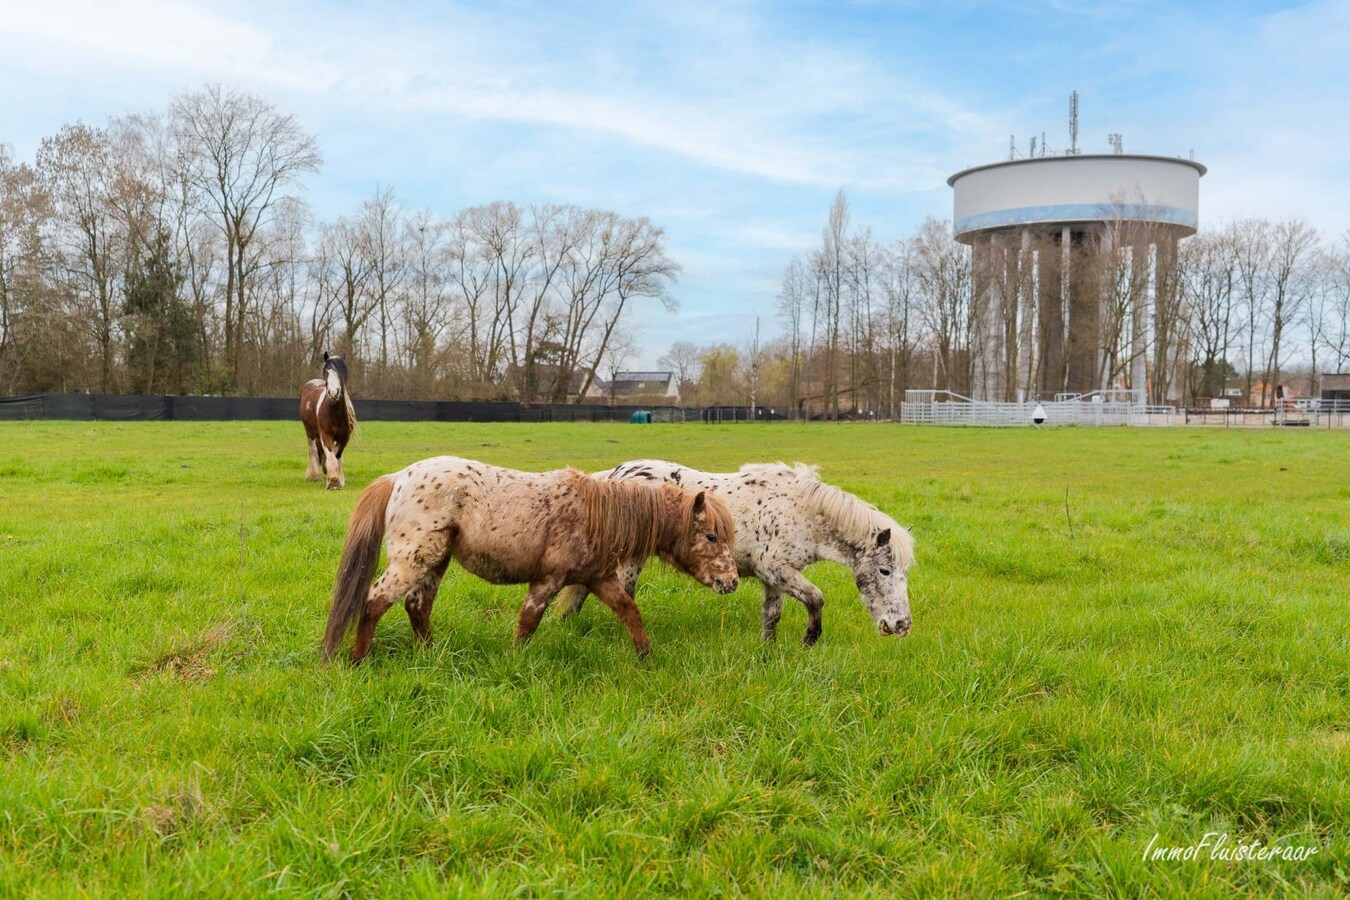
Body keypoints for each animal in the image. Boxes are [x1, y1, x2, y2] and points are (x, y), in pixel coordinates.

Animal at [299, 353, 356, 493]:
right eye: (326, 372)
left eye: (342, 373)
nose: (334, 392)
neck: (334, 411)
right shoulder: (325, 435)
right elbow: (331, 457)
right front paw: (333, 483)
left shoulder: (344, 437)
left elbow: (337, 456)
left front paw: (339, 479)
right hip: (310, 433)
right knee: (313, 451)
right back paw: (314, 476)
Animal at [319, 458, 739, 661]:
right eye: (712, 536)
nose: (732, 581)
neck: (597, 514)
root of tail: (398, 477)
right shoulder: (548, 579)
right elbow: (528, 623)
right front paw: (515, 661)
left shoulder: (599, 578)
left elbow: (629, 611)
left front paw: (646, 655)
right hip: (413, 559)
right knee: (374, 601)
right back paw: (357, 661)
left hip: (434, 561)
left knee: (417, 607)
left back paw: (430, 656)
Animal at [553, 461, 912, 644]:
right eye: (884, 571)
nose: (901, 625)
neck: (802, 510)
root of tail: (613, 476)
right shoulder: (777, 570)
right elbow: (816, 597)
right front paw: (810, 638)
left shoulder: (774, 579)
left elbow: (772, 616)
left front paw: (767, 652)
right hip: (629, 561)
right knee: (620, 596)